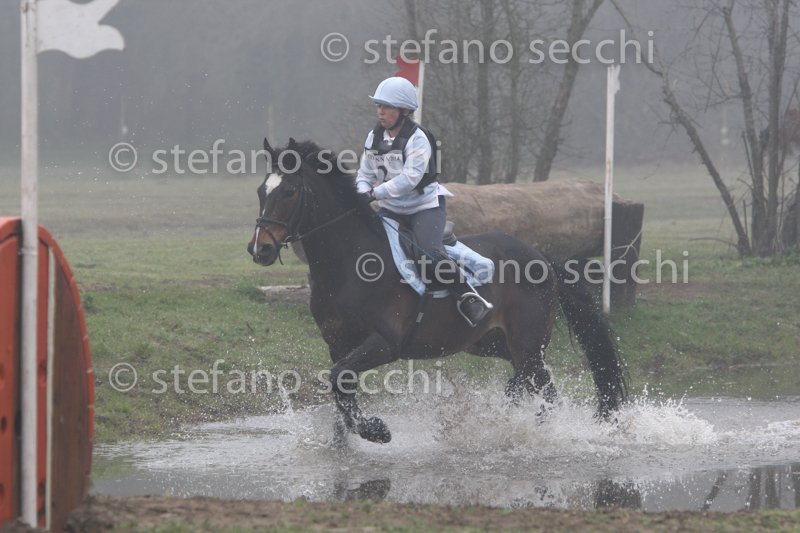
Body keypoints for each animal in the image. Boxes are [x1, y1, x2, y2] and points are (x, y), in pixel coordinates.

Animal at [247, 137, 627, 444]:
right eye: (261, 191)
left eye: (289, 192)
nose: (259, 249)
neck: (348, 263)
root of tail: (543, 258)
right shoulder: (338, 344)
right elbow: (341, 388)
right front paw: (345, 442)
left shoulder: (384, 343)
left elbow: (341, 379)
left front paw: (376, 431)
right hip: (492, 343)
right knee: (524, 380)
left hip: (528, 344)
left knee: (546, 392)